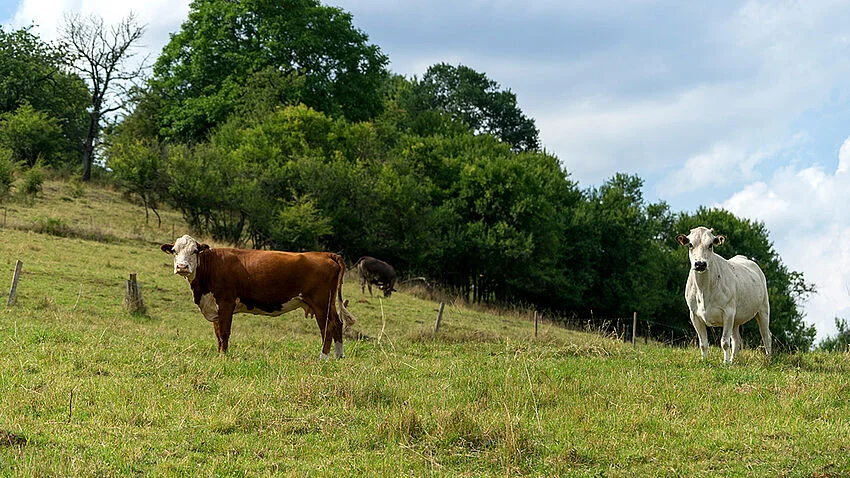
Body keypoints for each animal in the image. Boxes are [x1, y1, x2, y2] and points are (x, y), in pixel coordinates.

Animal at [161, 235, 356, 359]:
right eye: (174, 250)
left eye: (194, 251)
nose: (182, 267)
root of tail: (326, 254)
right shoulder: (214, 306)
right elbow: (217, 334)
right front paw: (219, 353)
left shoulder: (226, 303)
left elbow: (224, 332)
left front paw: (223, 356)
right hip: (329, 303)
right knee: (338, 323)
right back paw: (339, 356)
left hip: (320, 303)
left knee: (327, 327)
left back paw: (323, 357)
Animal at [676, 226, 771, 364]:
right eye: (690, 244)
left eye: (710, 245)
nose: (700, 264)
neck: (704, 290)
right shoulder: (694, 315)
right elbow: (703, 343)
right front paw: (705, 360)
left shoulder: (728, 312)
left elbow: (725, 342)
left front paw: (725, 363)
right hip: (736, 319)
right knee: (737, 340)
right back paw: (733, 360)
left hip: (763, 309)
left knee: (766, 335)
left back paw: (769, 359)